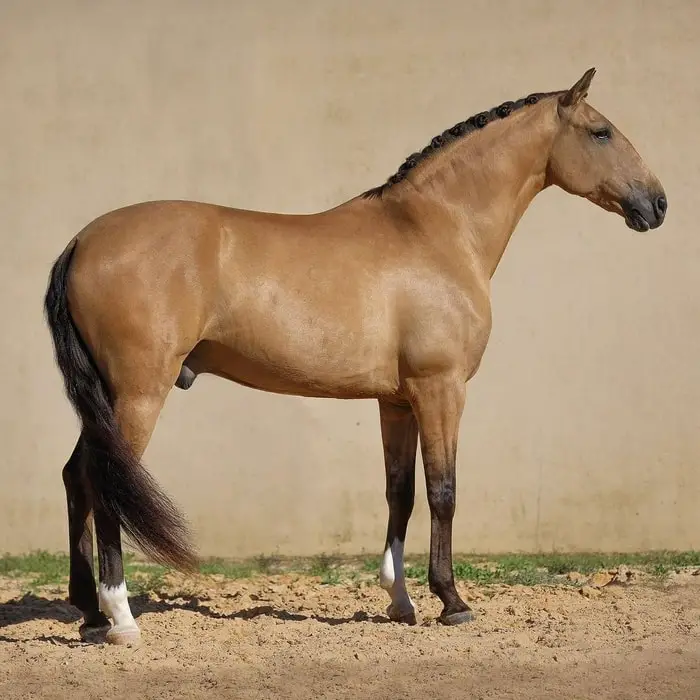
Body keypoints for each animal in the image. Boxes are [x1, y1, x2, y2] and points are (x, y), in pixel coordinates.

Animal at [43, 67, 668, 644]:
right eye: (601, 132)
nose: (657, 204)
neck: (435, 231)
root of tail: (81, 242)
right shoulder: (441, 389)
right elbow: (443, 490)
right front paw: (452, 600)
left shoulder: (397, 401)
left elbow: (401, 493)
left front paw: (400, 601)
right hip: (138, 394)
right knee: (105, 481)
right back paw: (121, 618)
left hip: (108, 399)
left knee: (78, 476)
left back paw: (90, 613)